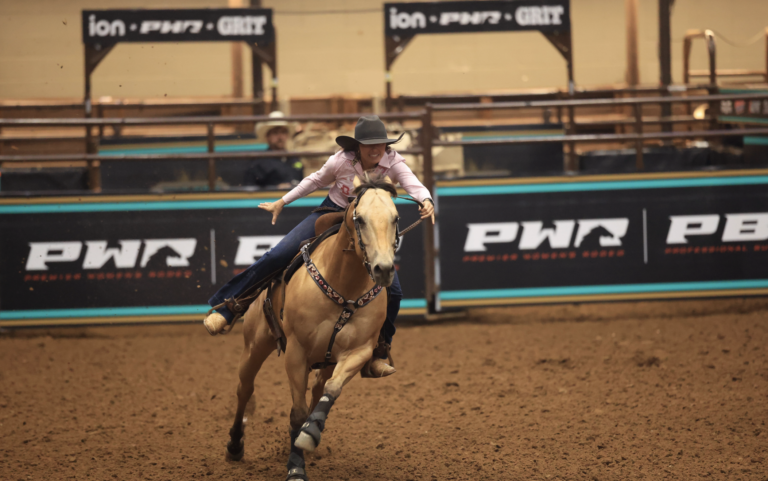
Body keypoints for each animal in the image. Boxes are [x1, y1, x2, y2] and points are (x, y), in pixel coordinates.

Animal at [223, 176, 402, 481]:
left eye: (396, 217)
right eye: (360, 219)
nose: (384, 269)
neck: (344, 284)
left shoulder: (359, 351)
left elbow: (331, 390)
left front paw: (308, 436)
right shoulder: (296, 351)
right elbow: (296, 412)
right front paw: (296, 467)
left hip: (325, 360)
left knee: (318, 390)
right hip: (255, 345)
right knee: (244, 388)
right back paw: (235, 445)